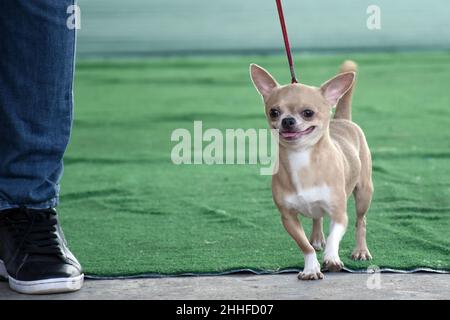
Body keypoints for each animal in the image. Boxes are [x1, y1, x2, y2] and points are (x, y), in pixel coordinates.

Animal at [250, 60, 372, 280]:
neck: (301, 158)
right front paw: (311, 268)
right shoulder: (288, 217)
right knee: (317, 217)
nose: (287, 120)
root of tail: (341, 119)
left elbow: (334, 237)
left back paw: (360, 250)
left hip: (364, 193)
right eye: (274, 112)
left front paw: (332, 258)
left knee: (361, 221)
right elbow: (304, 245)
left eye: (308, 113)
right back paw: (316, 238)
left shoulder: (339, 214)